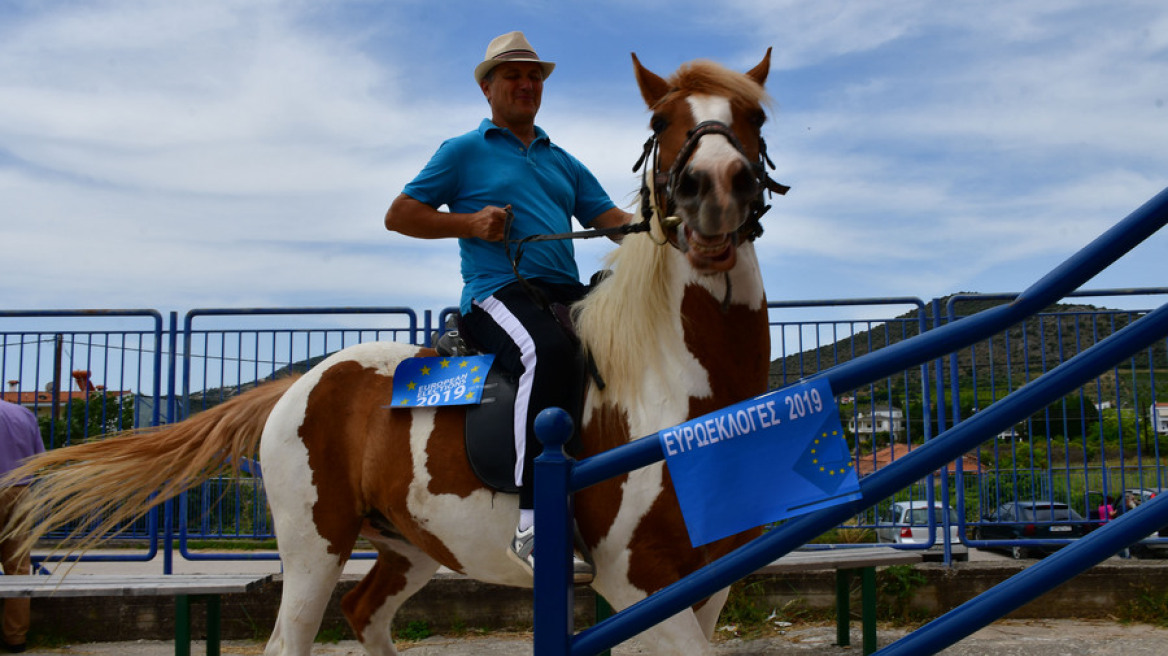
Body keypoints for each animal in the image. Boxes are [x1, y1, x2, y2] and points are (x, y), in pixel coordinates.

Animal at [4, 48, 784, 648]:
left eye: (755, 118)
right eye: (659, 123)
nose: (714, 189)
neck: (673, 382)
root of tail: (298, 383)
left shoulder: (706, 581)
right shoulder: (638, 582)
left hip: (408, 545)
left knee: (364, 612)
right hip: (314, 549)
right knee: (294, 635)